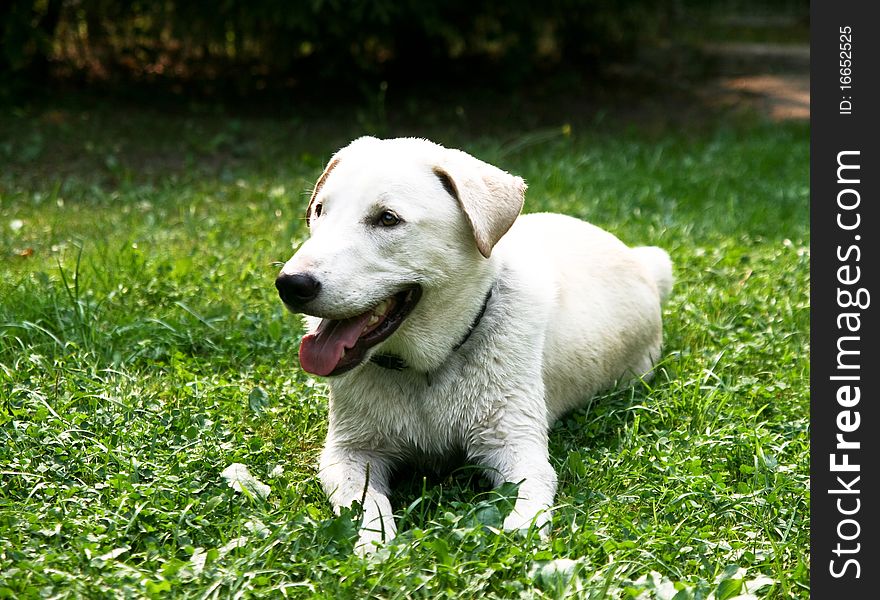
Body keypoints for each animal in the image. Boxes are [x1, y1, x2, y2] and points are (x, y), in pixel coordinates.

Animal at [276, 136, 672, 552]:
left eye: (387, 218)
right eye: (319, 211)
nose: (290, 284)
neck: (427, 369)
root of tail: (640, 262)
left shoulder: (515, 444)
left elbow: (529, 500)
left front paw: (517, 537)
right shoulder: (348, 452)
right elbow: (368, 504)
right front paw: (375, 546)